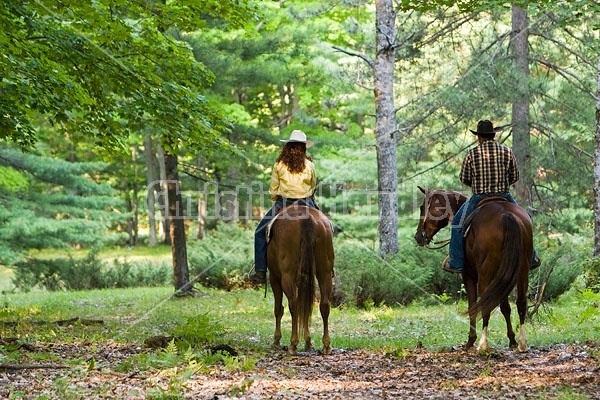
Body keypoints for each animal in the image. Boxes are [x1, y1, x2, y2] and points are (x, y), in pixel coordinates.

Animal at [266, 205, 336, 354]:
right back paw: (326, 345)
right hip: (325, 273)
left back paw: (293, 344)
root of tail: (306, 219)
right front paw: (308, 341)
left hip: (287, 276)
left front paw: (276, 340)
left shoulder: (274, 277)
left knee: (294, 304)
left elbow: (278, 309)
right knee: (324, 305)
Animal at [414, 186, 532, 352]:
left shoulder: (468, 275)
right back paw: (522, 343)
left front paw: (470, 340)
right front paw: (512, 339)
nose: (418, 236)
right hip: (521, 270)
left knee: (485, 304)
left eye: (422, 207)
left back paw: (483, 344)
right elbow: (505, 307)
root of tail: (506, 215)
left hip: (485, 273)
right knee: (521, 302)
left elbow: (472, 306)